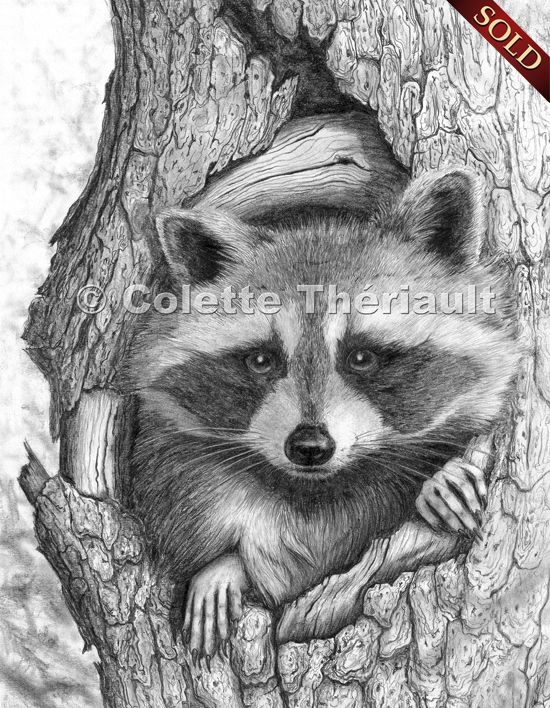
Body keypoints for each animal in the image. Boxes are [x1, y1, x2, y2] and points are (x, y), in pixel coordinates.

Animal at [127, 169, 518, 660]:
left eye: (362, 357)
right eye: (262, 361)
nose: (309, 446)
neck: (315, 488)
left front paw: (436, 478)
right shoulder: (175, 454)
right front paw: (221, 565)